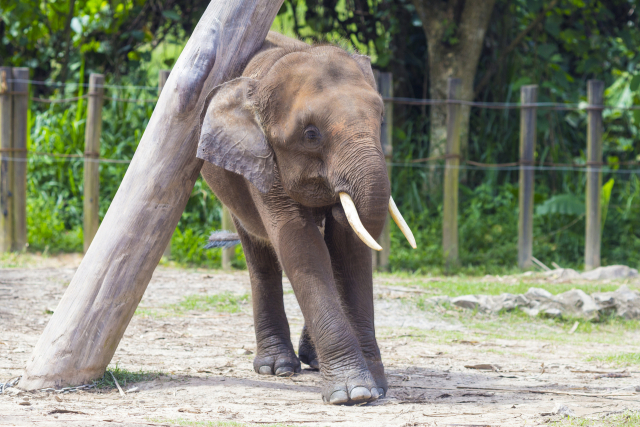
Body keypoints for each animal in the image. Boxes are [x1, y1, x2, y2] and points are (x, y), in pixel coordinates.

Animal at [198, 30, 416, 404]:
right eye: (311, 135)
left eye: (382, 120)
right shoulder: (263, 162)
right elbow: (301, 246)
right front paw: (354, 393)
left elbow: (346, 247)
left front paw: (374, 386)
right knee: (260, 256)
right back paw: (277, 367)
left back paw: (311, 360)